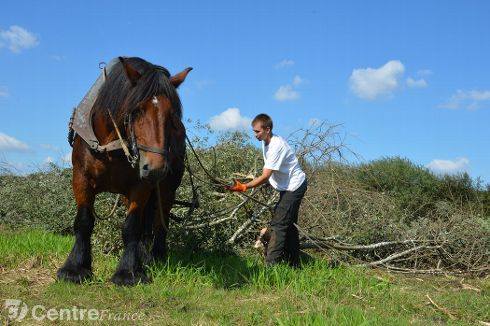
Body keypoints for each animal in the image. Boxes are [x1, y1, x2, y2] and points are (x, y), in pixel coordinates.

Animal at [58, 58, 192, 286]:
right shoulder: (81, 178)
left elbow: (131, 226)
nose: (155, 168)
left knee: (160, 220)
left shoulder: (141, 185)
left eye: (172, 116)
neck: (111, 145)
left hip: (168, 188)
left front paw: (128, 271)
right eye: (136, 110)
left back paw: (156, 256)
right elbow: (84, 221)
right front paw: (75, 267)